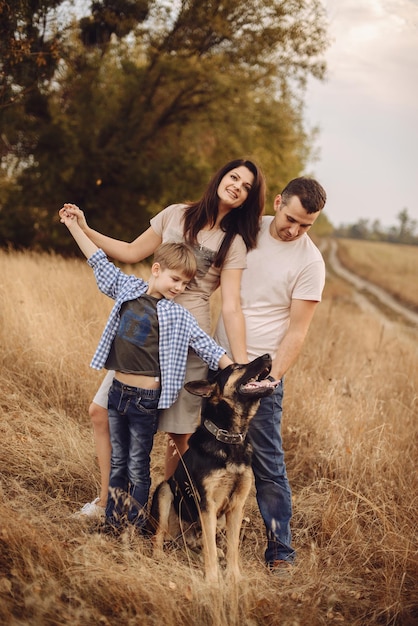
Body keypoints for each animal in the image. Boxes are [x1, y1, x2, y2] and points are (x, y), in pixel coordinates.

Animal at [149, 352, 276, 580]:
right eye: (236, 367)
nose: (269, 355)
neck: (229, 439)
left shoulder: (236, 507)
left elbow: (232, 547)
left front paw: (234, 577)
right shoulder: (207, 505)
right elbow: (209, 546)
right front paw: (212, 579)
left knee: (201, 544)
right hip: (165, 492)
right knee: (159, 535)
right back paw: (160, 556)